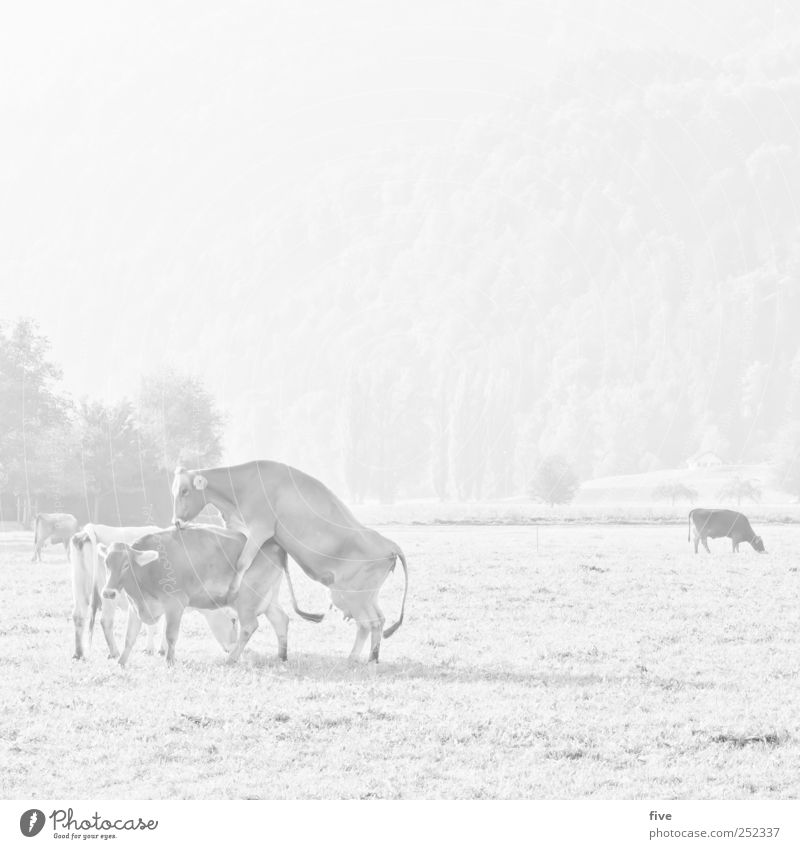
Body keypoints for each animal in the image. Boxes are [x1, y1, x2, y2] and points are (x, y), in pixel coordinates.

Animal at [70, 524, 238, 664]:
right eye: (233, 620)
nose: (231, 648)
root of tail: (90, 529)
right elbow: (162, 627)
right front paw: (161, 650)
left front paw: (153, 648)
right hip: (108, 595)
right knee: (106, 620)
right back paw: (114, 652)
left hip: (80, 587)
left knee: (79, 616)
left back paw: (79, 653)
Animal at [97, 528, 304, 664]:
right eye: (106, 563)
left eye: (126, 565)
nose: (108, 592)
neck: (149, 569)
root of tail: (275, 546)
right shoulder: (136, 607)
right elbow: (129, 637)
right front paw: (121, 662)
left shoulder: (175, 604)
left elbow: (170, 635)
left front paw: (170, 661)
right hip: (268, 598)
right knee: (280, 619)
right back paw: (281, 656)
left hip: (247, 599)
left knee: (249, 627)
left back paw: (231, 659)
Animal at [169, 460, 406, 664]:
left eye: (185, 491)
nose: (176, 522)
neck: (244, 484)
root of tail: (391, 545)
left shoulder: (260, 529)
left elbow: (242, 562)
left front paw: (233, 589)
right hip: (364, 596)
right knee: (376, 621)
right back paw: (364, 657)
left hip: (350, 596)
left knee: (370, 622)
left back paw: (367, 658)